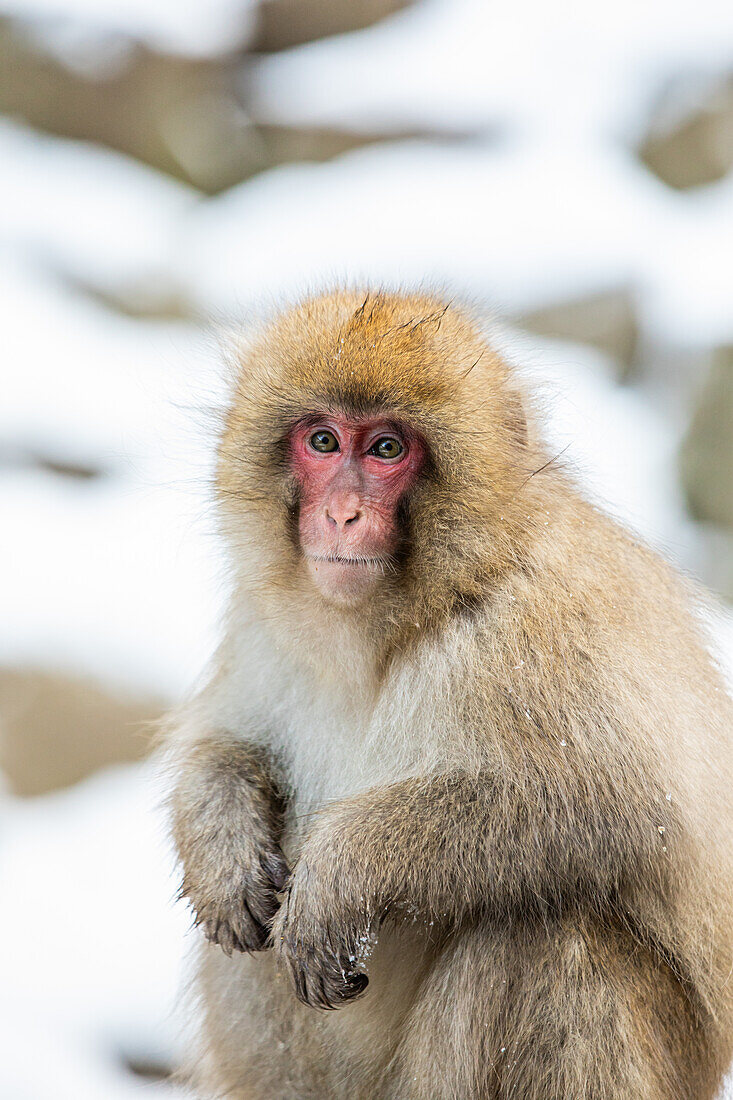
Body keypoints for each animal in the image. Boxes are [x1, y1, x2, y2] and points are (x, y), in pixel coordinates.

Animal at [168, 288, 730, 1095]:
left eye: (386, 451)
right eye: (322, 440)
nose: (340, 513)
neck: (401, 622)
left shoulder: (538, 623)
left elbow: (615, 804)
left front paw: (342, 869)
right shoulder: (262, 620)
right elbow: (227, 744)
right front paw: (222, 841)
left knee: (546, 932)